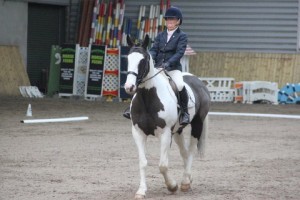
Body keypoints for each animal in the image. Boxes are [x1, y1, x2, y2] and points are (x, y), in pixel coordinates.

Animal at [124, 34, 211, 198]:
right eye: (128, 59)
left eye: (143, 60)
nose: (129, 87)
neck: (148, 97)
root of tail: (198, 81)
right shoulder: (138, 132)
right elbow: (143, 162)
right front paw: (141, 191)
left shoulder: (164, 134)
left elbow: (163, 165)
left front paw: (172, 186)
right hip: (177, 131)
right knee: (184, 152)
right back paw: (188, 178)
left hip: (197, 124)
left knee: (190, 151)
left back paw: (185, 182)